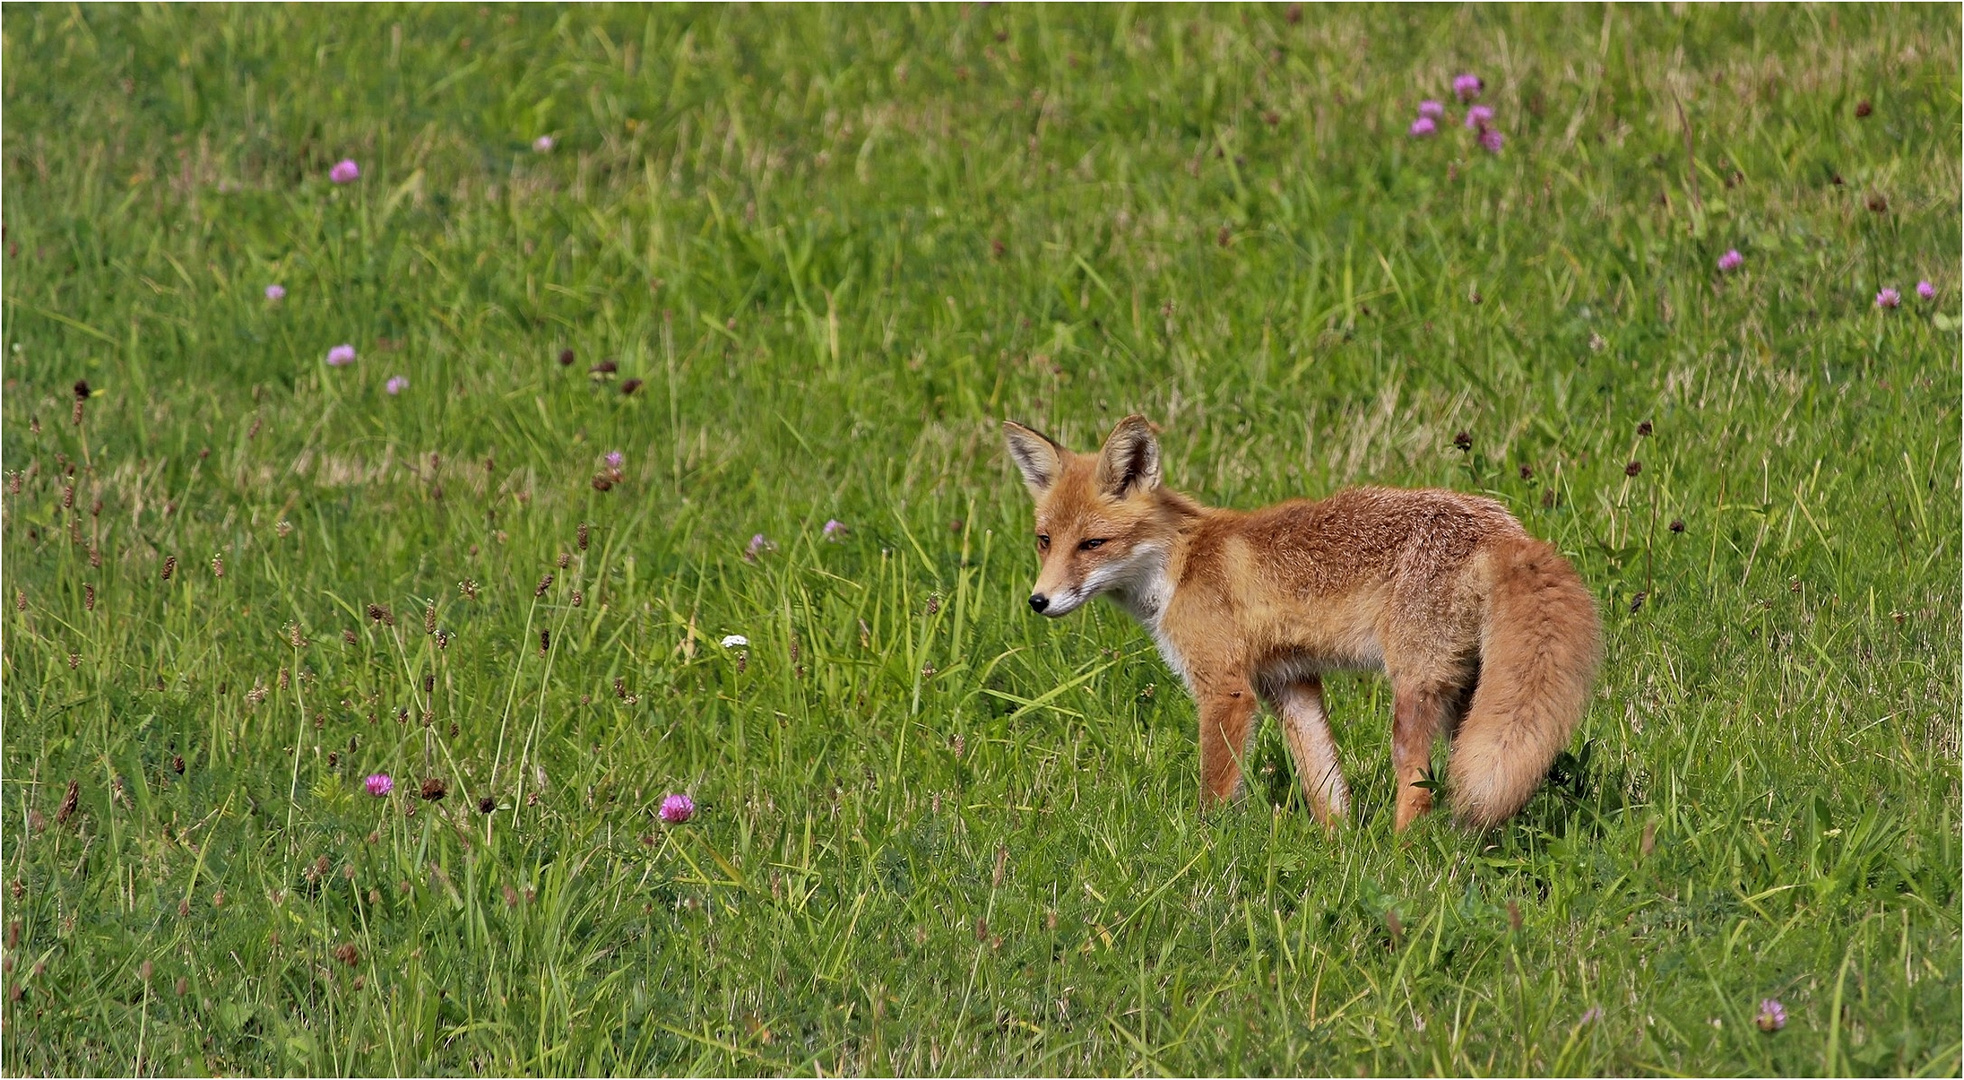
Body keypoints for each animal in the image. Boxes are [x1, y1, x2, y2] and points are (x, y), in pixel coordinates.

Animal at [1005, 418, 1602, 832]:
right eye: (1044, 541)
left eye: (1092, 544)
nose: (1038, 600)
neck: (1179, 565)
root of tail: (1505, 529)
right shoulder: (1288, 682)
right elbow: (1324, 782)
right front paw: (1337, 848)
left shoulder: (1227, 689)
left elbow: (1216, 791)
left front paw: (1204, 851)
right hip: (1472, 698)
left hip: (1413, 695)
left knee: (1418, 787)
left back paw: (1403, 857)